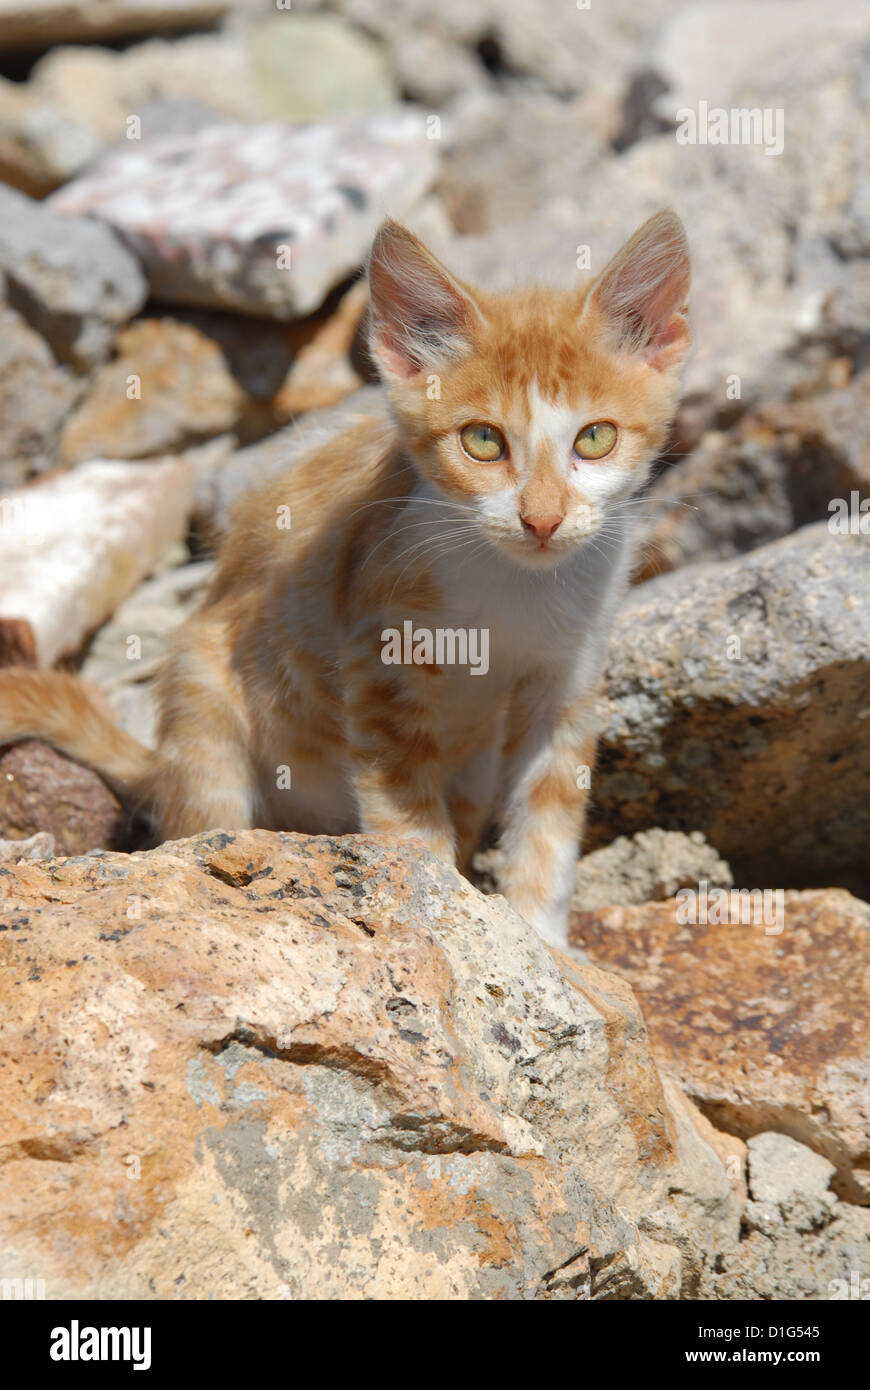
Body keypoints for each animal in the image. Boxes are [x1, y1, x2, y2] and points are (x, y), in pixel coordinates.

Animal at [0, 208, 692, 945]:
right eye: (483, 441)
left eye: (595, 439)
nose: (542, 519)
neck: (516, 584)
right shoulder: (379, 653)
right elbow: (407, 813)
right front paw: (440, 908)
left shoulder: (570, 675)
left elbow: (550, 815)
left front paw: (540, 940)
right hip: (205, 709)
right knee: (205, 820)